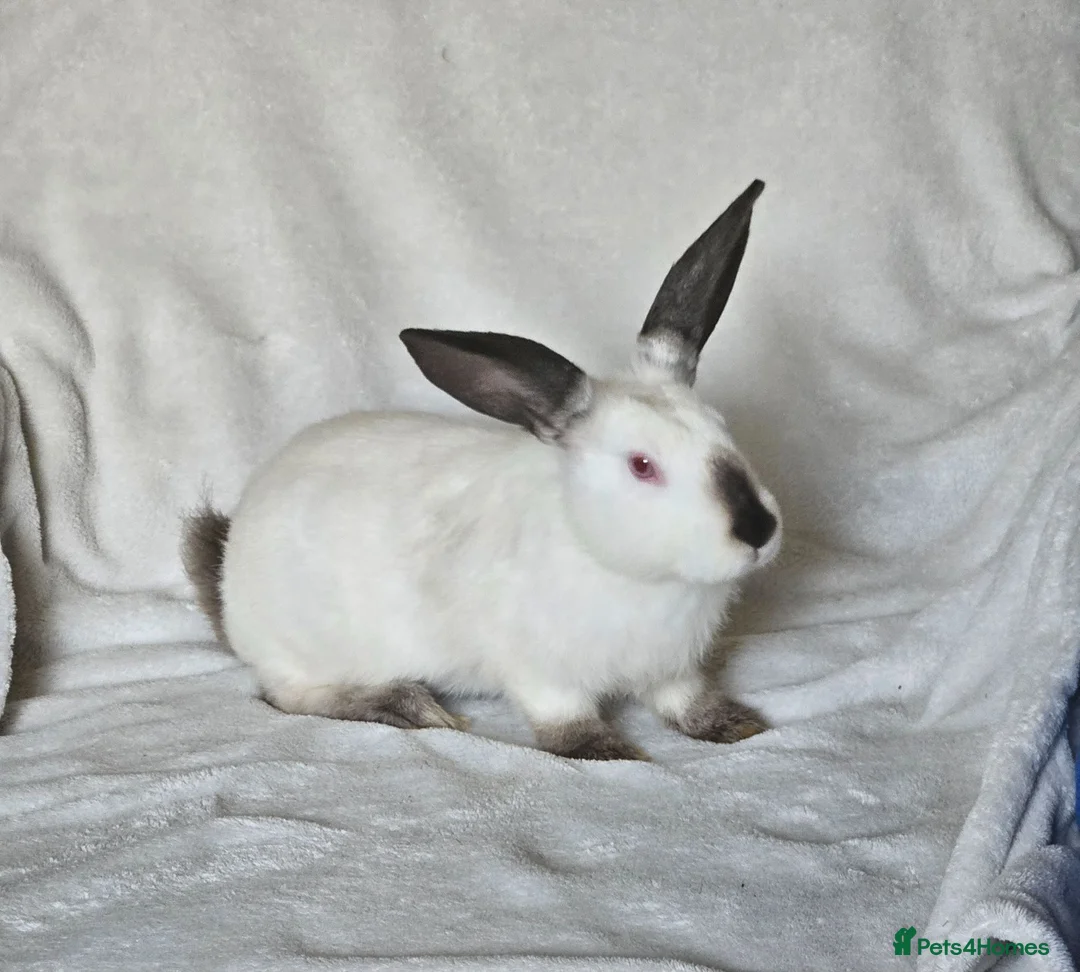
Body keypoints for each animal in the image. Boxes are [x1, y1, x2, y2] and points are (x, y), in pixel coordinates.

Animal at [182, 179, 781, 761]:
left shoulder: (673, 667)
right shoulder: (539, 668)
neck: (634, 572)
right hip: (308, 650)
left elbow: (686, 700)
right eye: (642, 465)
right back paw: (406, 705)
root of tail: (230, 566)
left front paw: (735, 726)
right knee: (288, 695)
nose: (758, 530)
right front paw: (610, 751)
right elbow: (564, 716)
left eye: (723, 427)